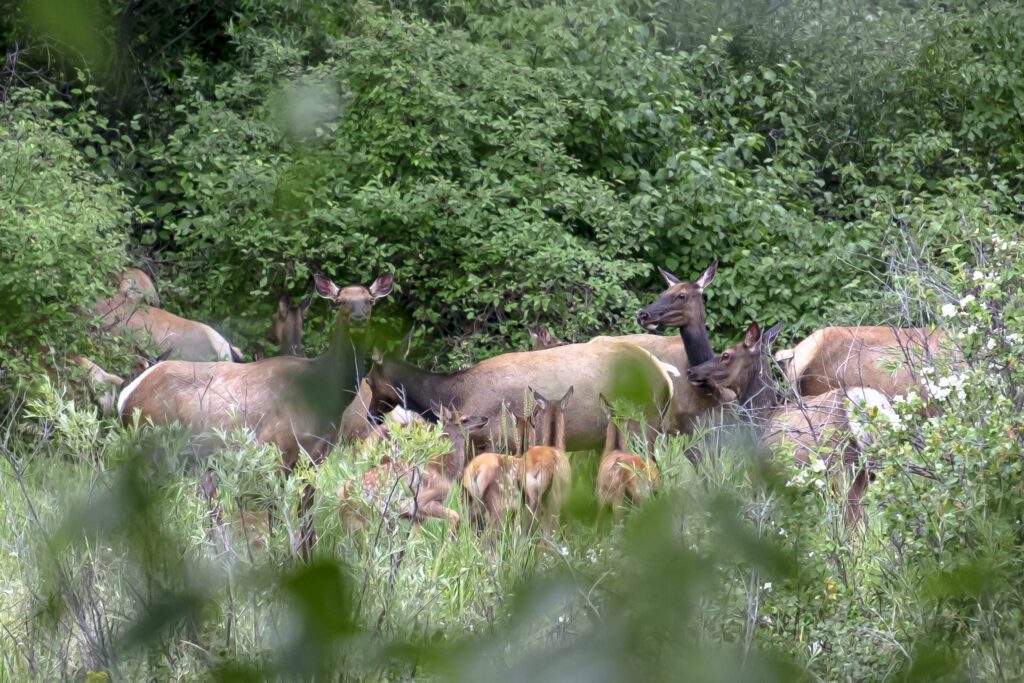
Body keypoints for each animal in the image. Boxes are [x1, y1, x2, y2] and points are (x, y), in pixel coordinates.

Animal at [117, 272, 393, 557]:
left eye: (370, 300)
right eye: (339, 301)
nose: (358, 318)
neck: (323, 398)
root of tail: (126, 395)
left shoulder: (316, 459)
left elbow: (307, 522)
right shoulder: (276, 450)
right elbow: (277, 519)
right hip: (154, 447)